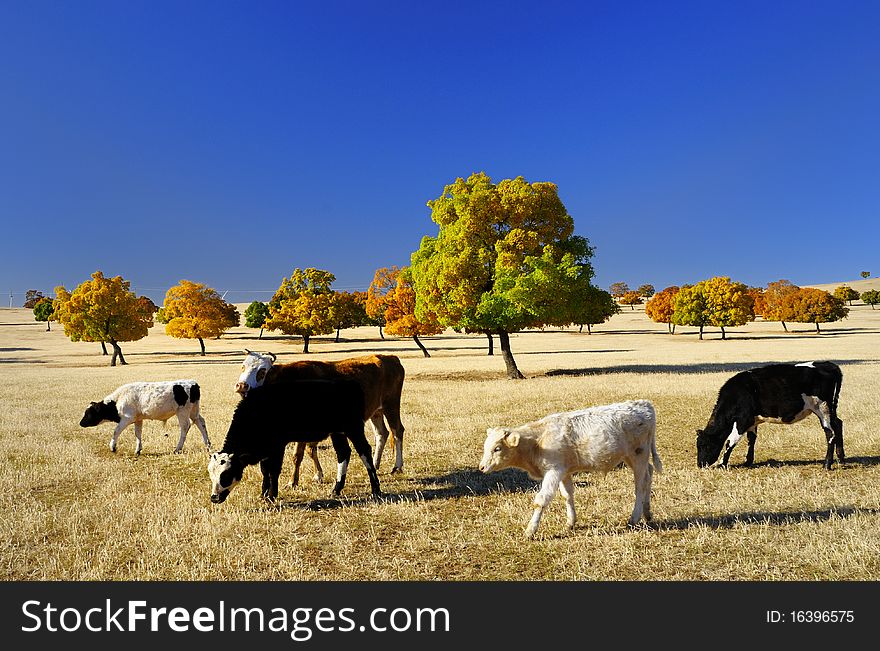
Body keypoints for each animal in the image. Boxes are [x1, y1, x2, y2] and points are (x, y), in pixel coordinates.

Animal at [211, 376, 384, 504]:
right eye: (212, 475)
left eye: (225, 475)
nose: (214, 498)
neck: (256, 413)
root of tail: (349, 385)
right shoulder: (267, 449)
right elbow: (265, 470)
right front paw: (263, 494)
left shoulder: (278, 446)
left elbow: (274, 470)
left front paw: (272, 495)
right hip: (338, 432)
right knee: (343, 453)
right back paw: (336, 489)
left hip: (353, 428)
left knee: (364, 452)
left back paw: (376, 489)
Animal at [237, 352, 410, 488]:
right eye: (243, 366)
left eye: (262, 370)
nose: (241, 385)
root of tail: (389, 357)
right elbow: (310, 450)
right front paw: (318, 475)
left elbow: (298, 455)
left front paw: (293, 481)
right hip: (376, 411)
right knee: (382, 434)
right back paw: (375, 463)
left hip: (391, 404)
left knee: (397, 431)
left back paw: (397, 466)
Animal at [482, 402, 660, 540]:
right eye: (486, 446)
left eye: (497, 448)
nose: (481, 467)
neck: (538, 441)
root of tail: (644, 404)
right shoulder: (564, 471)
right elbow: (567, 495)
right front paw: (570, 522)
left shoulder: (553, 471)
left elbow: (542, 500)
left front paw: (530, 531)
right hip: (632, 457)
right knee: (649, 474)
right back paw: (647, 513)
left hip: (638, 455)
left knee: (641, 485)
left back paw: (634, 518)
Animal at [696, 360, 844, 472]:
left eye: (704, 445)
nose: (700, 464)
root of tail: (827, 364)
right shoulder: (753, 420)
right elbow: (751, 439)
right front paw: (748, 461)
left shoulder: (744, 420)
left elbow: (730, 441)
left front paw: (722, 463)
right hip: (830, 409)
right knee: (838, 424)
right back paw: (841, 458)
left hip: (822, 408)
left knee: (830, 433)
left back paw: (827, 465)